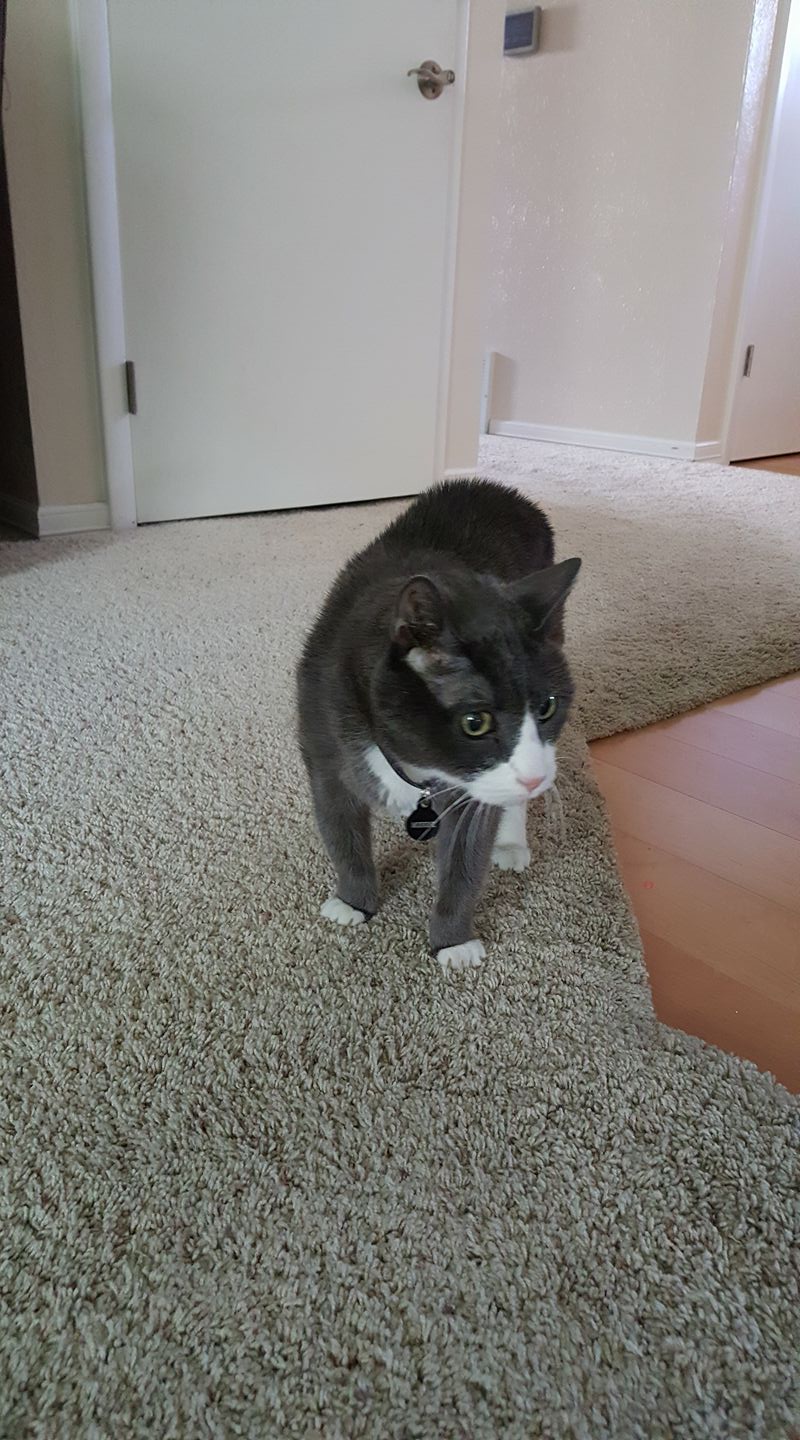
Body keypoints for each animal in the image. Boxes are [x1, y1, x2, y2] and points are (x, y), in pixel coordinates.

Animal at [297, 478, 581, 972]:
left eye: (547, 707)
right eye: (474, 722)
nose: (535, 778)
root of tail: (501, 489)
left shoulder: (472, 791)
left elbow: (466, 860)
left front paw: (453, 942)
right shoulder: (325, 746)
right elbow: (341, 830)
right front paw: (353, 903)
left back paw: (511, 842)